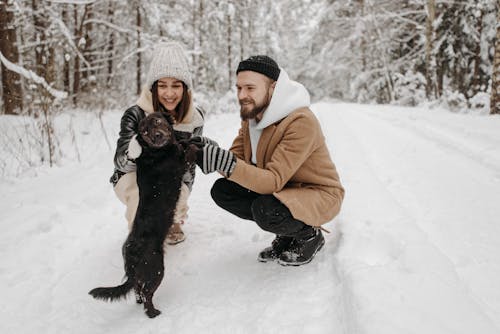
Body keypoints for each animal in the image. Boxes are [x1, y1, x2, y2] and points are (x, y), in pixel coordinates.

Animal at [89, 111, 198, 318]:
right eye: (145, 132)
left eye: (157, 120)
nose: (157, 136)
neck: (155, 152)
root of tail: (131, 257)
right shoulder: (181, 163)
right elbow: (188, 150)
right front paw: (193, 144)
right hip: (156, 270)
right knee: (147, 293)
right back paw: (153, 312)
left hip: (143, 275)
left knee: (138, 290)